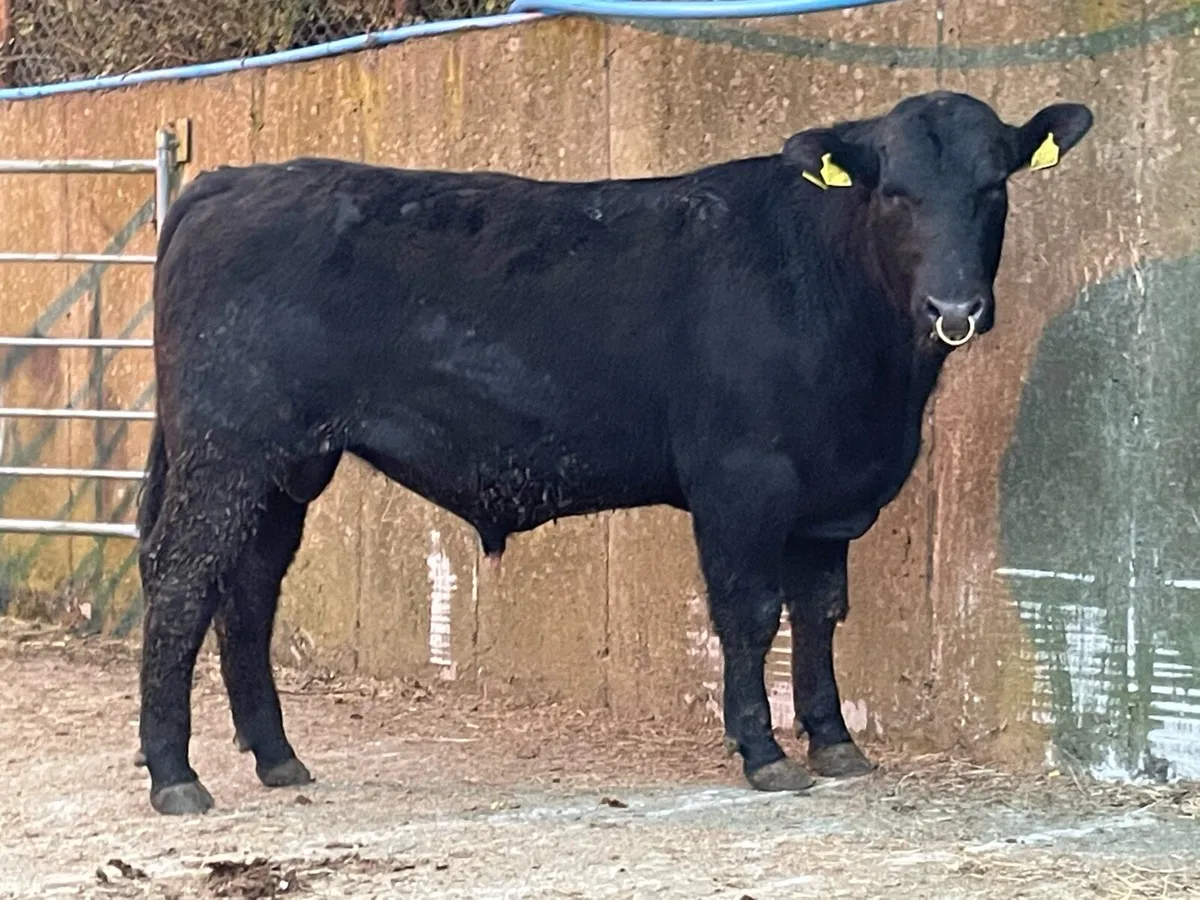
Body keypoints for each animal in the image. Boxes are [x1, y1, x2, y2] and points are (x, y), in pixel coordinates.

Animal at [134, 90, 1093, 814]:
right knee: (182, 582)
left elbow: (820, 613)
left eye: (994, 186)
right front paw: (763, 752)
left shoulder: (827, 499)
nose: (954, 308)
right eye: (893, 191)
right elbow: (750, 615)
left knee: (249, 591)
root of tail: (233, 181)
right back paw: (176, 776)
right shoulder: (742, 479)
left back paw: (277, 757)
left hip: (287, 466)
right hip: (226, 452)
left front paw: (834, 742)